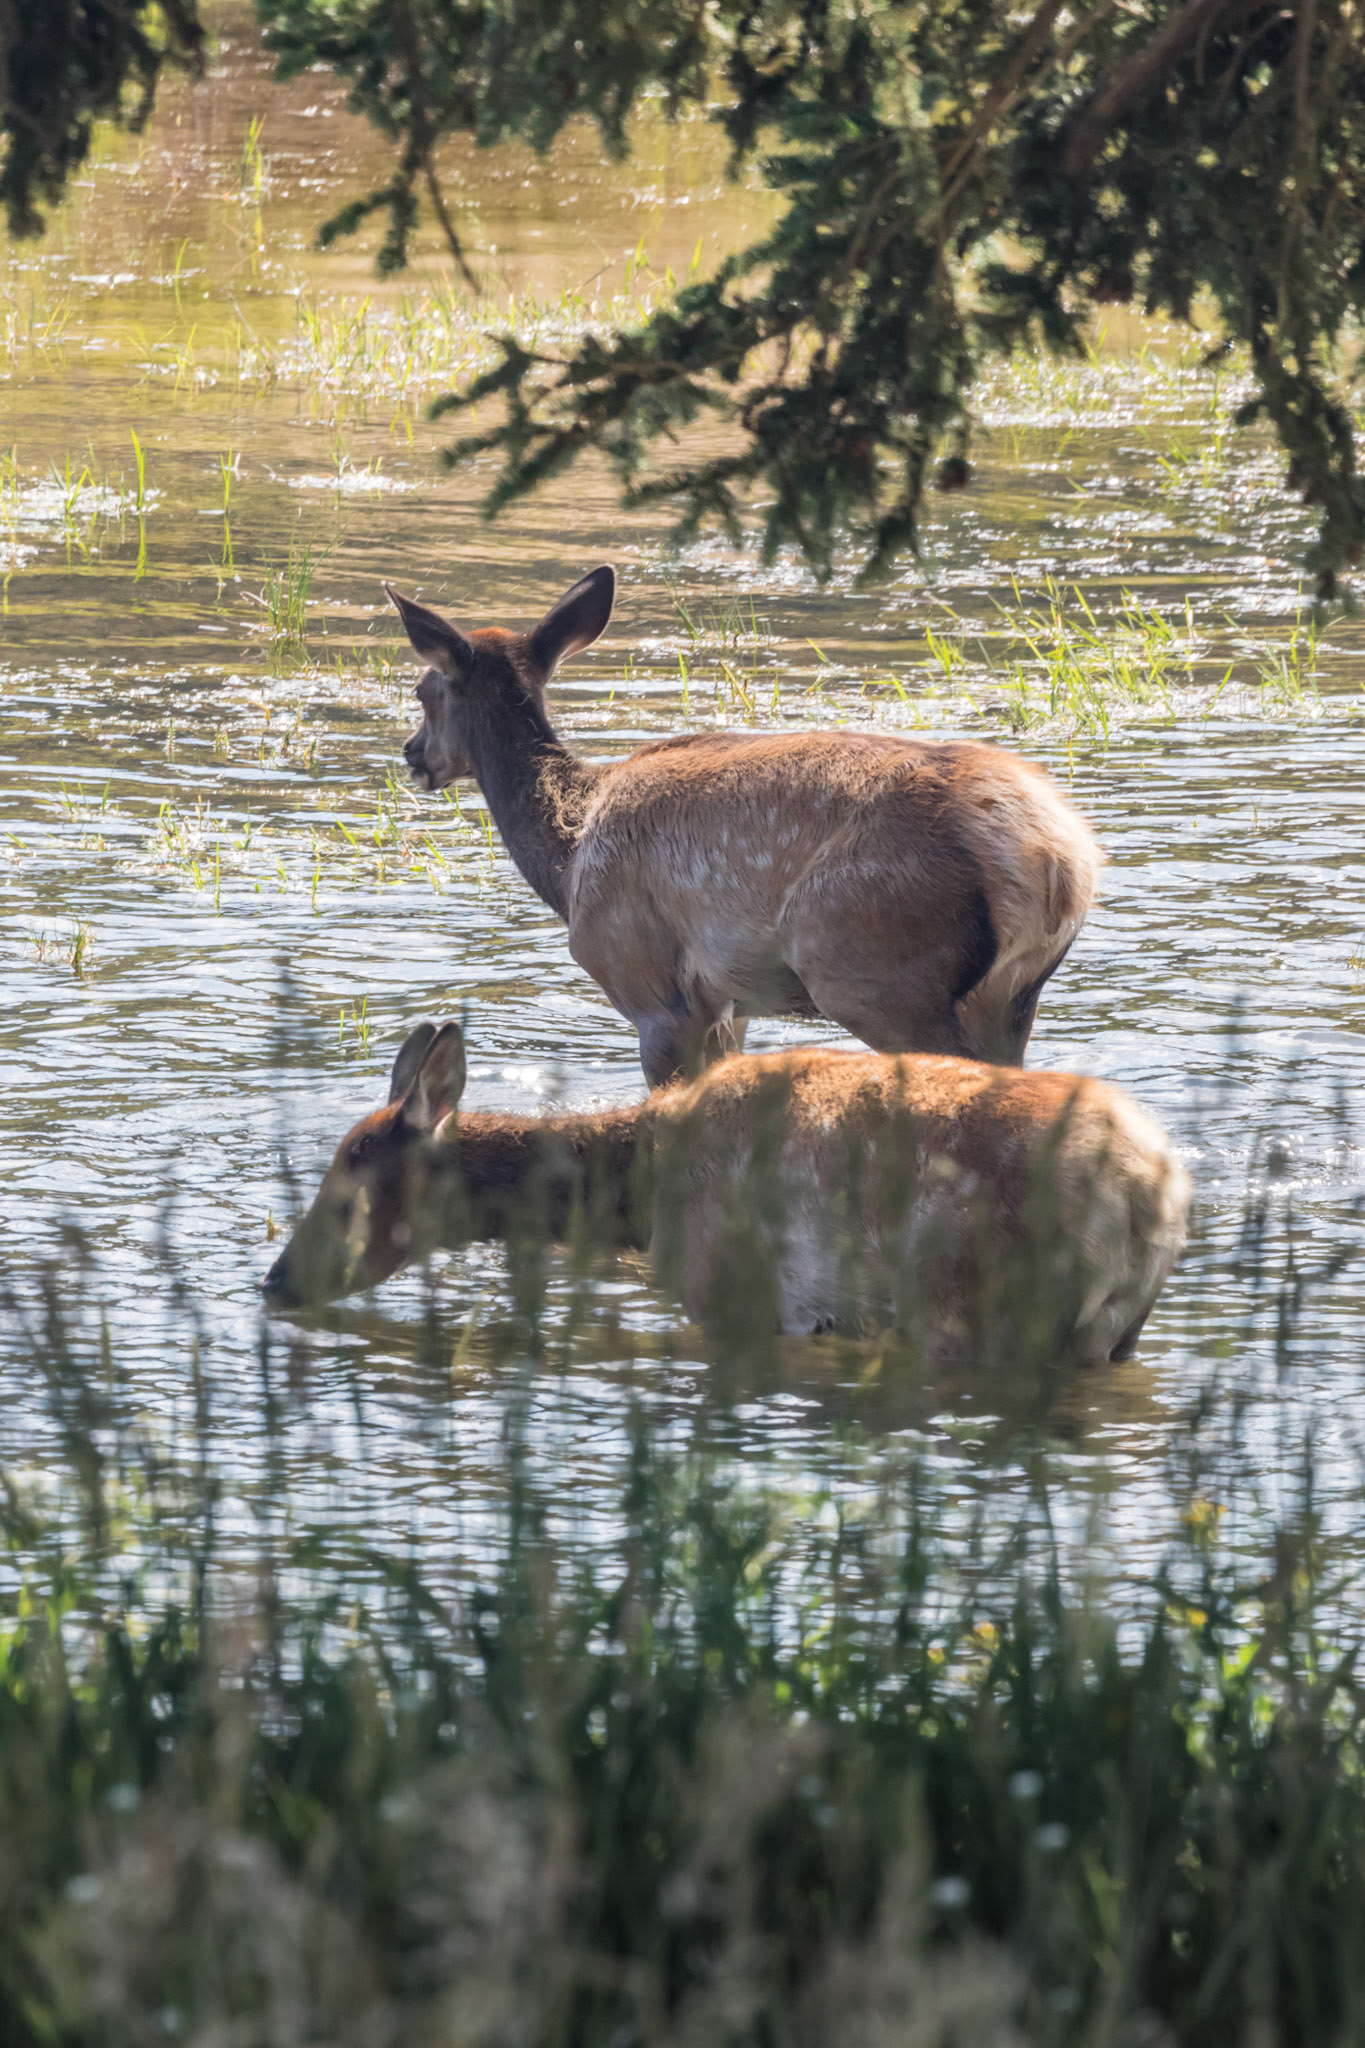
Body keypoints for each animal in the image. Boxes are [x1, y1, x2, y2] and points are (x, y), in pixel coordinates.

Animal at [262, 1020, 1190, 1365]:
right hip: (1115, 1330)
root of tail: (1154, 1194)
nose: (276, 1281)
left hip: (976, 1309)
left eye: (346, 1189)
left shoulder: (735, 1297)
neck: (636, 1199)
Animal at [387, 567, 1103, 1088]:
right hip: (1012, 996)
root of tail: (1053, 860)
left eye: (425, 690)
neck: (566, 861)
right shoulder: (727, 1005)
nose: (413, 754)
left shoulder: (648, 985)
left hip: (876, 969)